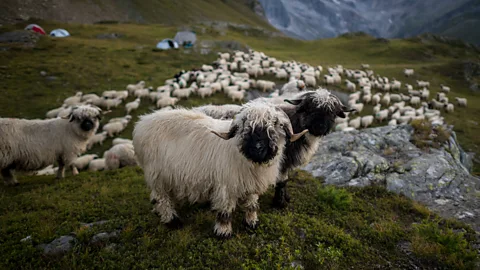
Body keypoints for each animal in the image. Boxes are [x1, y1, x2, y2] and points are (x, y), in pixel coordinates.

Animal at [133, 100, 310, 237]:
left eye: (274, 124)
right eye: (245, 125)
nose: (257, 148)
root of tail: (142, 123)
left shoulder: (252, 184)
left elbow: (251, 204)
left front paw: (251, 222)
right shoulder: (226, 186)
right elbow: (225, 211)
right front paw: (223, 232)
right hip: (157, 175)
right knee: (161, 199)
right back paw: (172, 221)